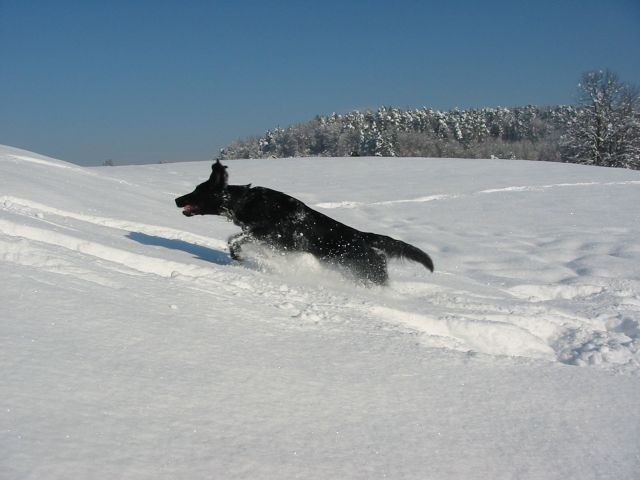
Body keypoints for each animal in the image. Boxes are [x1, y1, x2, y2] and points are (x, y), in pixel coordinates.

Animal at [178, 160, 432, 284]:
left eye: (197, 191)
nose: (176, 199)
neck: (246, 202)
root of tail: (365, 237)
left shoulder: (273, 235)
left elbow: (235, 238)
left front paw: (237, 255)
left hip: (367, 272)